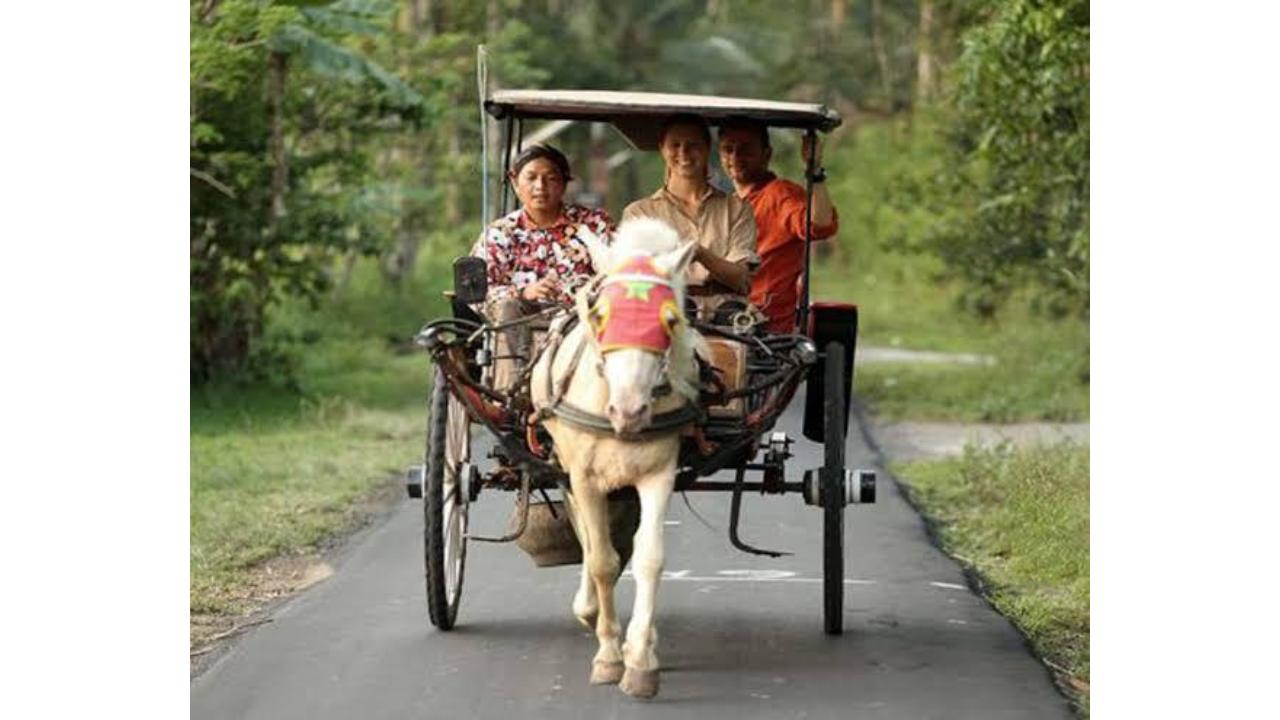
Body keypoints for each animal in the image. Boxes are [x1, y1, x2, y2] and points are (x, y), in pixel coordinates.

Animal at [529, 219, 701, 696]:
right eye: (600, 315)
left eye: (670, 320)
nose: (628, 412)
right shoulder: (583, 477)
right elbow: (602, 561)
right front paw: (608, 655)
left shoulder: (659, 473)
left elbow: (649, 557)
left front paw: (640, 657)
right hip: (566, 465)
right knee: (589, 540)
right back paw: (591, 612)